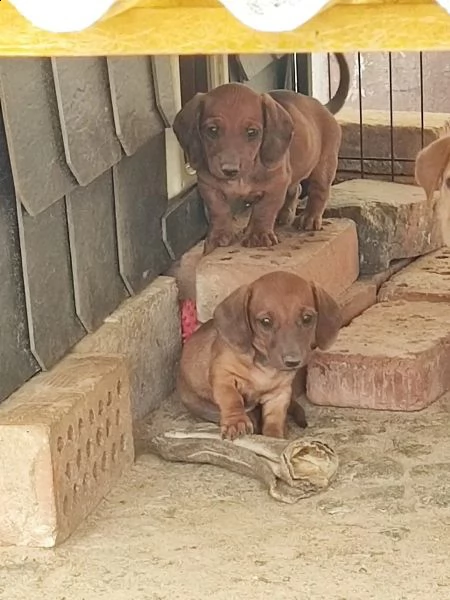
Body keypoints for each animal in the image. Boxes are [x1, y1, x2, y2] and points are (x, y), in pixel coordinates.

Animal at [176, 272, 342, 440]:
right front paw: (237, 422)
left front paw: (275, 436)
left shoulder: (279, 394)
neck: (264, 367)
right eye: (265, 322)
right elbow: (232, 398)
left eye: (307, 318)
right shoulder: (224, 375)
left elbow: (274, 421)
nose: (293, 362)